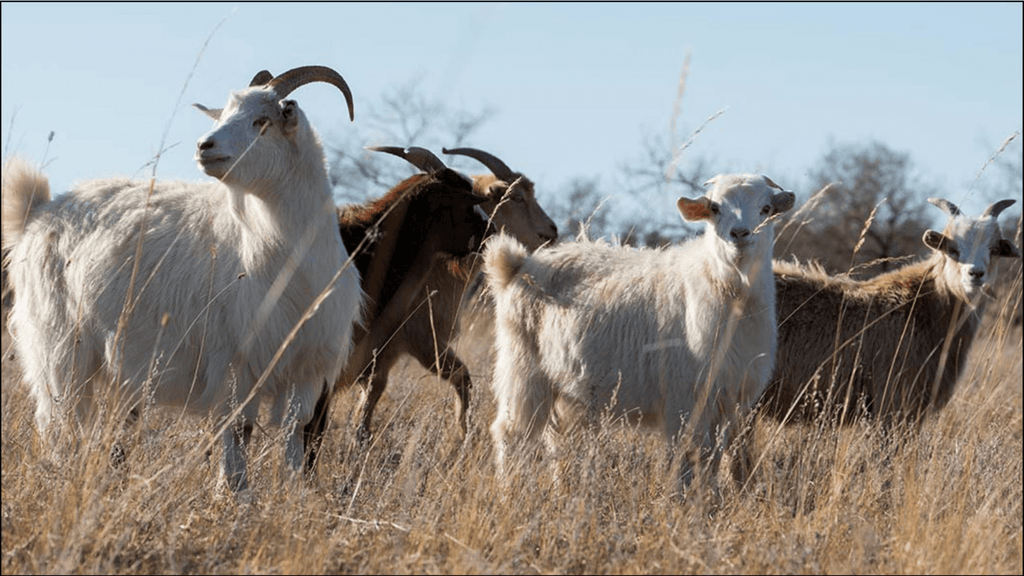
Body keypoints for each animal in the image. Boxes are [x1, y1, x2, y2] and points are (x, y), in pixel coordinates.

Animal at [2, 66, 364, 487]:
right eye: (225, 113)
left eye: (262, 122)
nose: (205, 146)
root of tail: (37, 212)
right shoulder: (235, 367)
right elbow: (238, 433)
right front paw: (234, 493)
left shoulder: (306, 370)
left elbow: (295, 434)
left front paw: (294, 493)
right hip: (59, 350)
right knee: (58, 420)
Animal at [483, 172, 794, 481]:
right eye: (715, 208)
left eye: (766, 209)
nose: (739, 234)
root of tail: (517, 266)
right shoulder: (683, 402)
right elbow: (685, 461)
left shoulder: (727, 405)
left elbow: (711, 461)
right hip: (523, 371)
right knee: (512, 435)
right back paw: (509, 488)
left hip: (568, 394)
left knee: (558, 441)